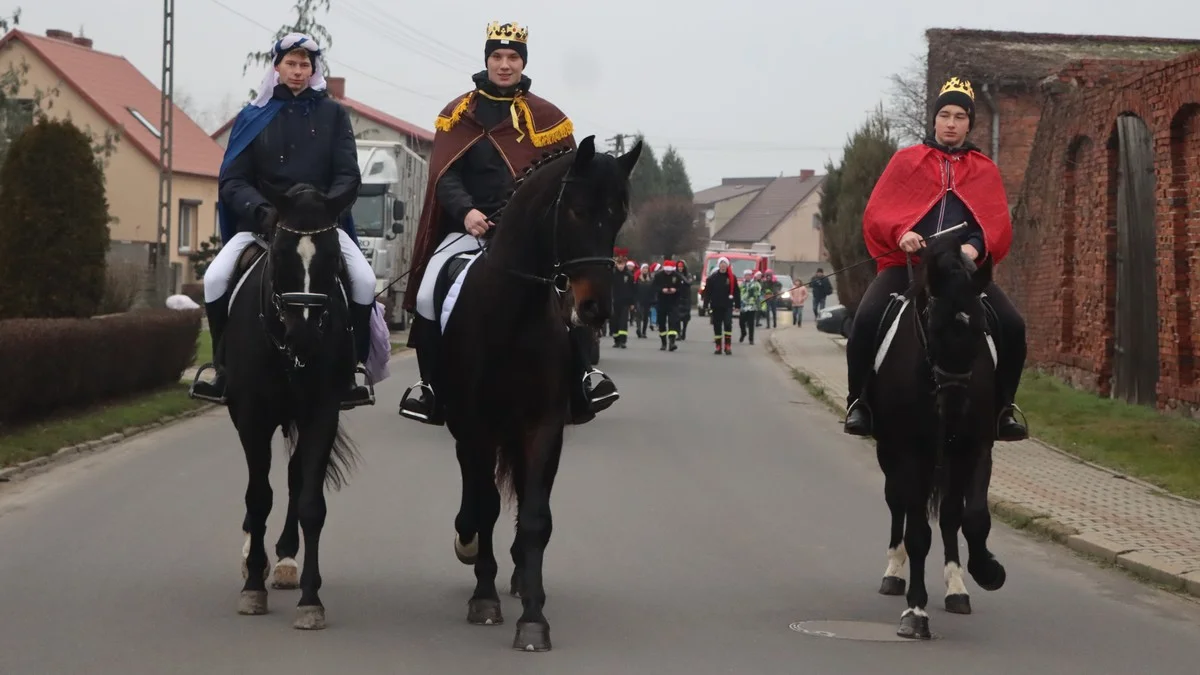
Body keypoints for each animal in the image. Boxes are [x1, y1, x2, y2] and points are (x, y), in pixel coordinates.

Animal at [219, 182, 360, 624]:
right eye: (281, 253)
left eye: (334, 256)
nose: (305, 336)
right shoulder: (251, 417)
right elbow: (258, 497)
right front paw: (252, 587)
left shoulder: (322, 414)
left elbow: (311, 502)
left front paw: (311, 599)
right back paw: (257, 557)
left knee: (297, 478)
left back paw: (283, 560)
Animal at [432, 135, 638, 648]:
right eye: (578, 211)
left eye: (618, 216)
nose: (596, 308)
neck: (513, 314)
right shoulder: (477, 425)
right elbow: (486, 504)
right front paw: (484, 597)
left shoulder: (543, 425)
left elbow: (535, 516)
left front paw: (533, 616)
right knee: (474, 491)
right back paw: (471, 545)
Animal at [868, 234, 1008, 638]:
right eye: (932, 325)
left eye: (981, 327)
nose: (955, 405)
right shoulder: (909, 453)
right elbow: (917, 533)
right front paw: (915, 611)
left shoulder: (974, 448)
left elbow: (972, 517)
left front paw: (985, 570)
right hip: (891, 453)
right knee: (897, 502)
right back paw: (894, 572)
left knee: (948, 515)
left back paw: (956, 586)